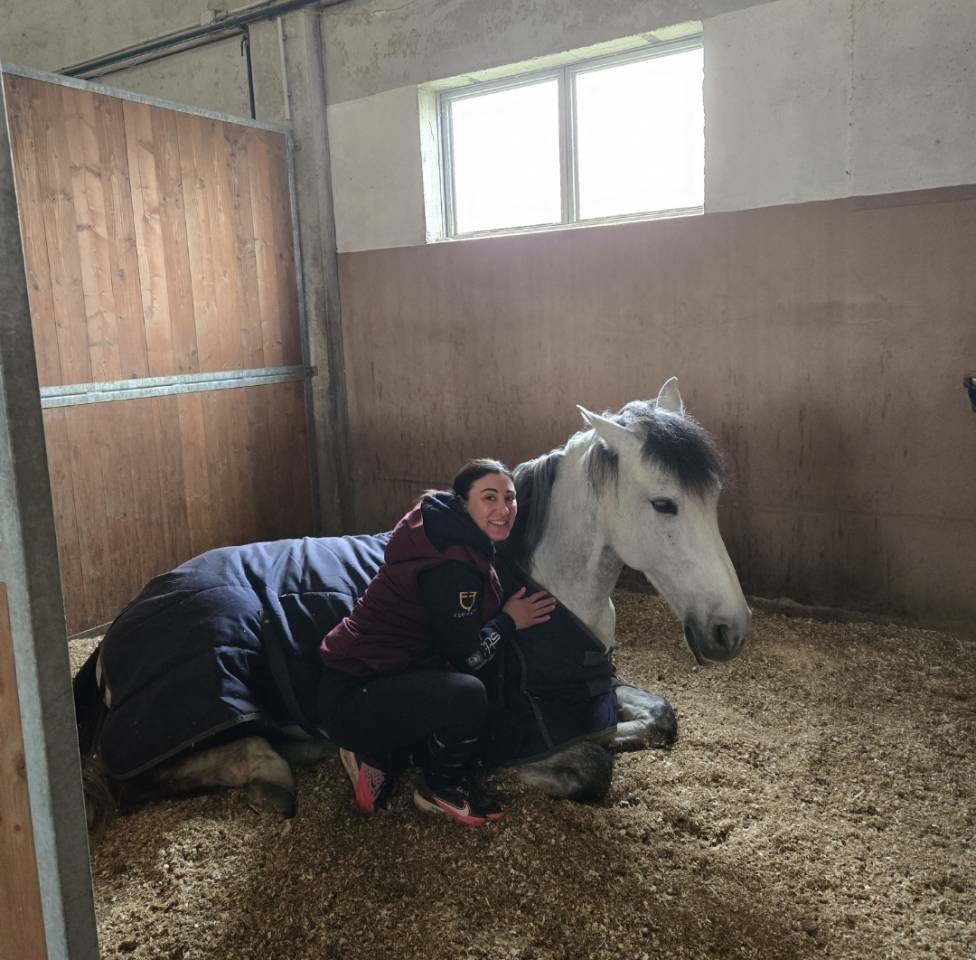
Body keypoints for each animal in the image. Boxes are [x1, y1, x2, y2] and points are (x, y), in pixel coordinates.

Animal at [75, 378, 750, 833]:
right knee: (128, 780)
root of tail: (118, 631)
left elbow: (658, 718)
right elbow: (591, 767)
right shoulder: (513, 731)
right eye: (663, 503)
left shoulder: (595, 687)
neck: (543, 583)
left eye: (714, 495)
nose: (731, 631)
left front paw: (625, 731)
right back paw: (274, 773)